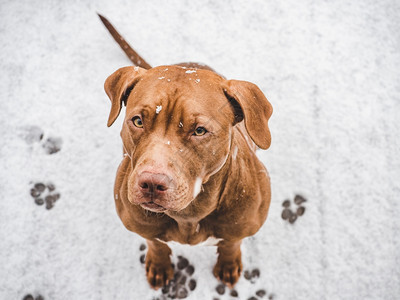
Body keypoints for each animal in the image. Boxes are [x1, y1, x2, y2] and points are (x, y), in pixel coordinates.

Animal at [101, 14, 274, 290]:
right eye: (138, 121)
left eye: (200, 130)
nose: (151, 183)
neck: (190, 214)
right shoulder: (142, 227)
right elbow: (155, 242)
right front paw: (159, 264)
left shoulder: (242, 227)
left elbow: (232, 243)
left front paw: (228, 263)